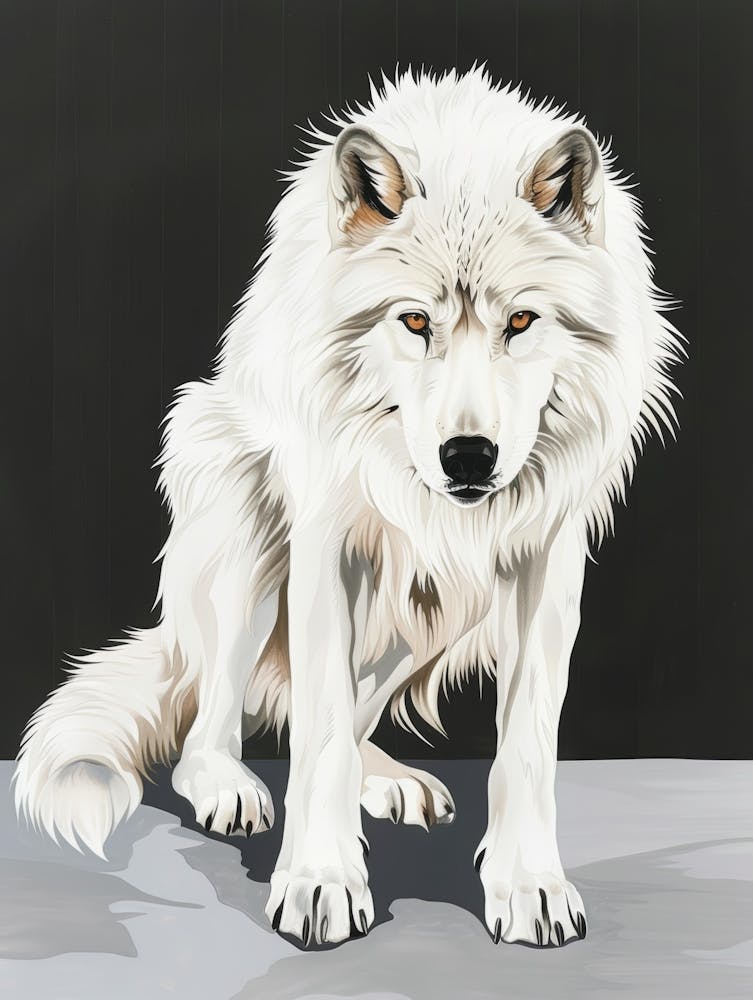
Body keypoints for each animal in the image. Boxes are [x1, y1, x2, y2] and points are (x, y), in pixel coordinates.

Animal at [14, 68, 681, 948]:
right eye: (414, 320)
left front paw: (527, 885)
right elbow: (321, 734)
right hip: (244, 533)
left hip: (434, 606)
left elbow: (526, 743)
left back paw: (388, 779)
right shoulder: (326, 543)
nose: (467, 457)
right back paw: (230, 785)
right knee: (212, 728)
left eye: (520, 320)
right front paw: (320, 882)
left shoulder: (546, 554)